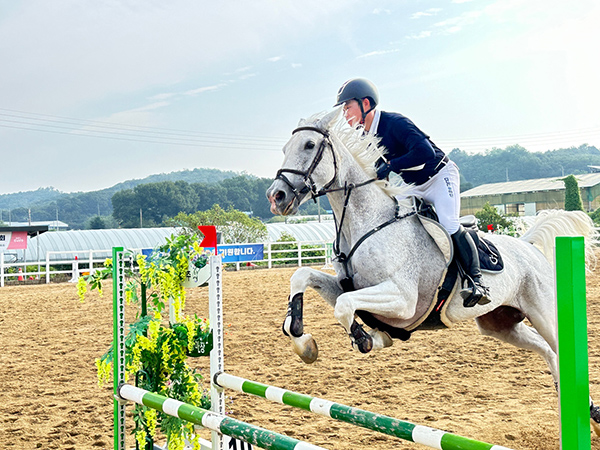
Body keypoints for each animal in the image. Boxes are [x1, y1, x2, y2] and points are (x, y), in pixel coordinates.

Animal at [268, 110, 600, 426]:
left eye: (309, 145)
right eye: (284, 148)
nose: (276, 197)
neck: (368, 223)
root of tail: (529, 246)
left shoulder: (403, 300)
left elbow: (345, 306)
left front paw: (366, 339)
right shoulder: (349, 286)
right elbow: (304, 278)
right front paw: (303, 341)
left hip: (544, 313)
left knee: (560, 350)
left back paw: (590, 414)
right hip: (500, 324)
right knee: (548, 352)